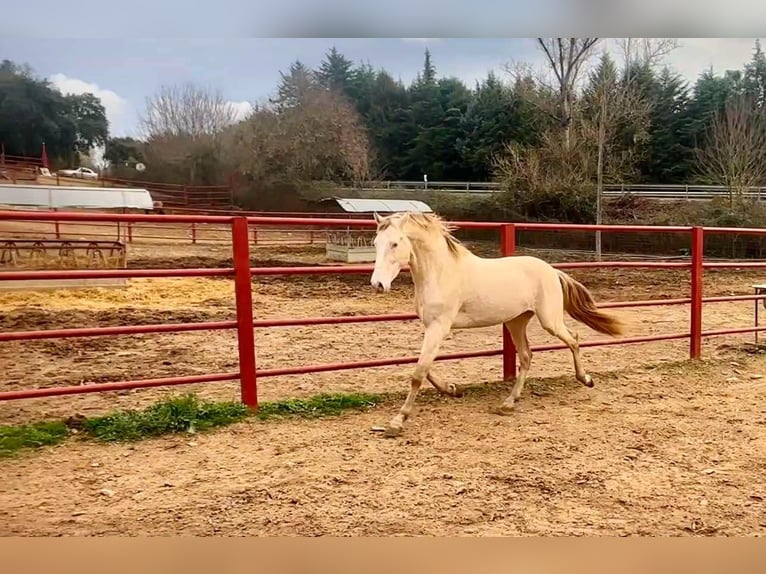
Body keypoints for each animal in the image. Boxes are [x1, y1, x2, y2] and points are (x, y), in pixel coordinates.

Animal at [368, 210, 628, 436]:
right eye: (376, 243)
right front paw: (453, 389)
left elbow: (418, 373)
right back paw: (509, 402)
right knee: (526, 356)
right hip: (516, 322)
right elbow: (423, 366)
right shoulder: (431, 327)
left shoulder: (439, 327)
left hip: (549, 320)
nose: (378, 284)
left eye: (394, 244)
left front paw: (397, 421)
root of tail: (552, 270)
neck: (441, 272)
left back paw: (586, 379)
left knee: (573, 339)